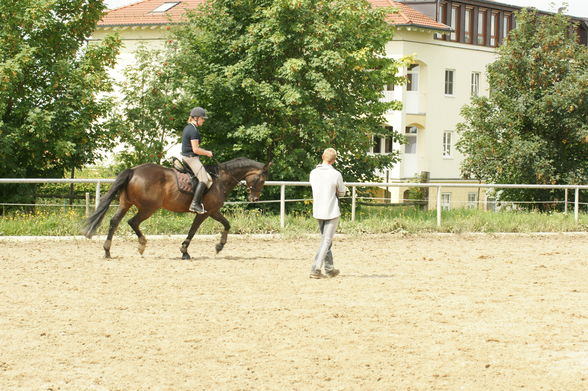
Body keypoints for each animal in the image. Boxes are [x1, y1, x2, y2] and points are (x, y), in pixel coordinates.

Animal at [81, 156, 272, 260]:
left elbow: (227, 224)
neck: (220, 180)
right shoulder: (206, 212)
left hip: (125, 203)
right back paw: (142, 245)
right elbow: (193, 230)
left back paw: (107, 251)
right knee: (132, 222)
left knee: (114, 221)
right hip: (148, 208)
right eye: (261, 179)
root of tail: (133, 171)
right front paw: (185, 252)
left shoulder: (213, 211)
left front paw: (219, 246)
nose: (254, 198)